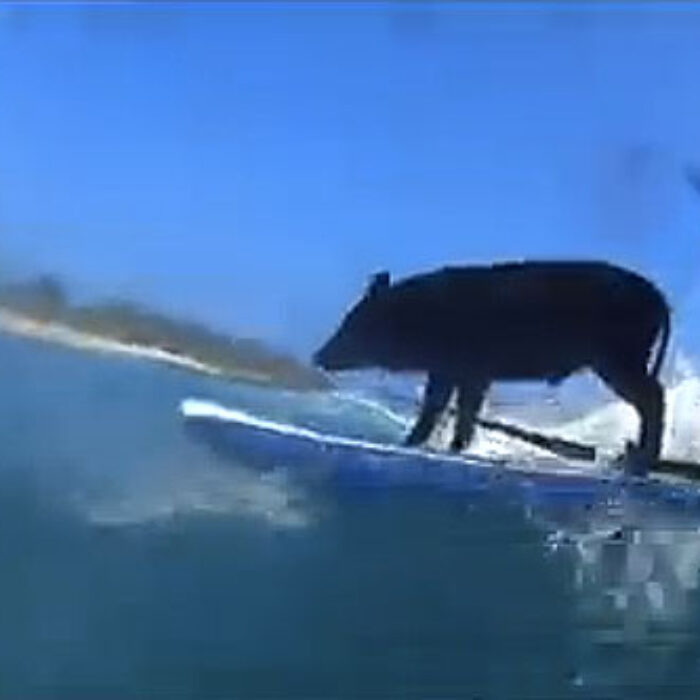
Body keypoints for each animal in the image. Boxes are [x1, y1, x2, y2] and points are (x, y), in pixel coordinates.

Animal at [313, 261, 670, 468]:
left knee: (655, 397)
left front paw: (409, 444)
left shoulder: (455, 368)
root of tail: (660, 298)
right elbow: (464, 409)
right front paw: (454, 448)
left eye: (355, 323)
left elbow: (437, 405)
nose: (317, 357)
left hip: (620, 358)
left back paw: (638, 461)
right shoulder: (473, 373)